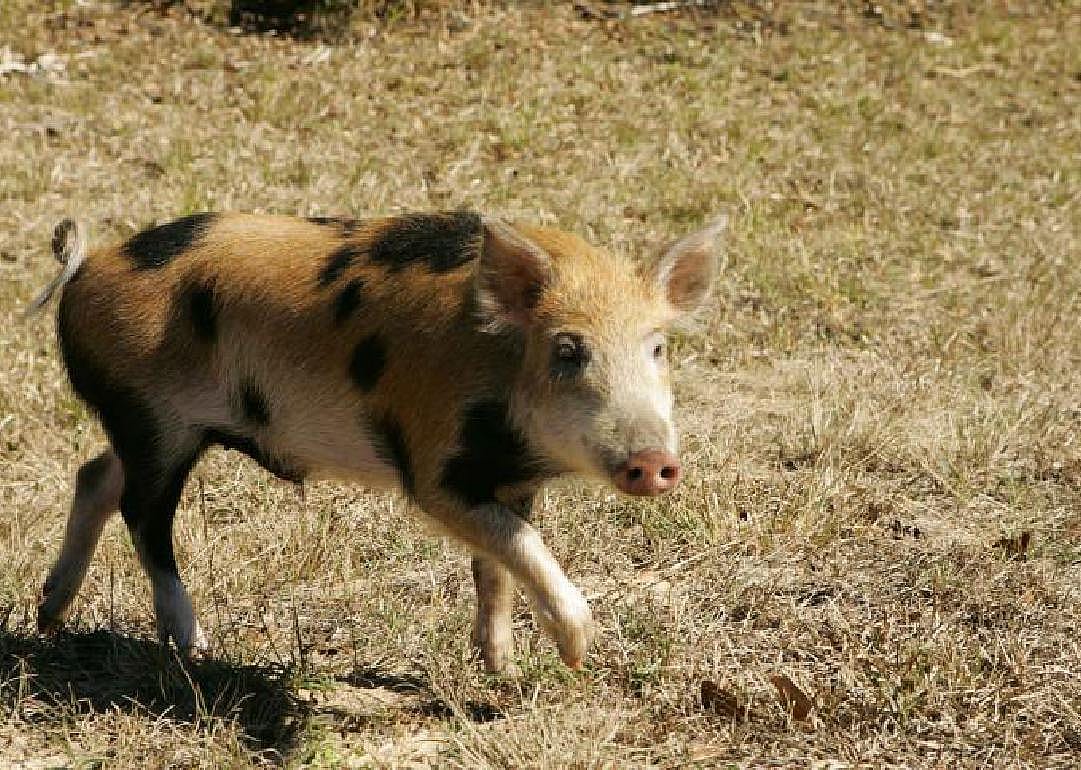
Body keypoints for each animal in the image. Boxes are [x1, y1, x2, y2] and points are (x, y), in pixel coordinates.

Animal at [30, 210, 726, 673]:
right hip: (155, 420)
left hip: (145, 426)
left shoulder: (508, 480)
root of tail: (87, 266)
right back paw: (196, 650)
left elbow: (497, 563)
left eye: (657, 348)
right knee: (144, 517)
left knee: (94, 477)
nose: (654, 463)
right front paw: (578, 654)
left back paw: (50, 618)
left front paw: (497, 667)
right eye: (568, 350)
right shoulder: (433, 466)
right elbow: (517, 545)